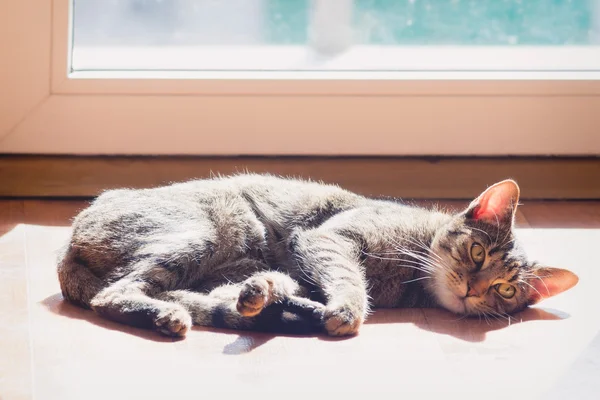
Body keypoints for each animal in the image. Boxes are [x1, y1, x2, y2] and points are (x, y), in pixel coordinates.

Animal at [56, 175, 576, 338]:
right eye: (476, 251)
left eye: (505, 290)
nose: (473, 289)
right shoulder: (327, 240)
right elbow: (349, 280)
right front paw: (346, 309)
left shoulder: (302, 263)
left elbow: (287, 284)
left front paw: (270, 294)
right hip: (199, 233)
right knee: (112, 294)